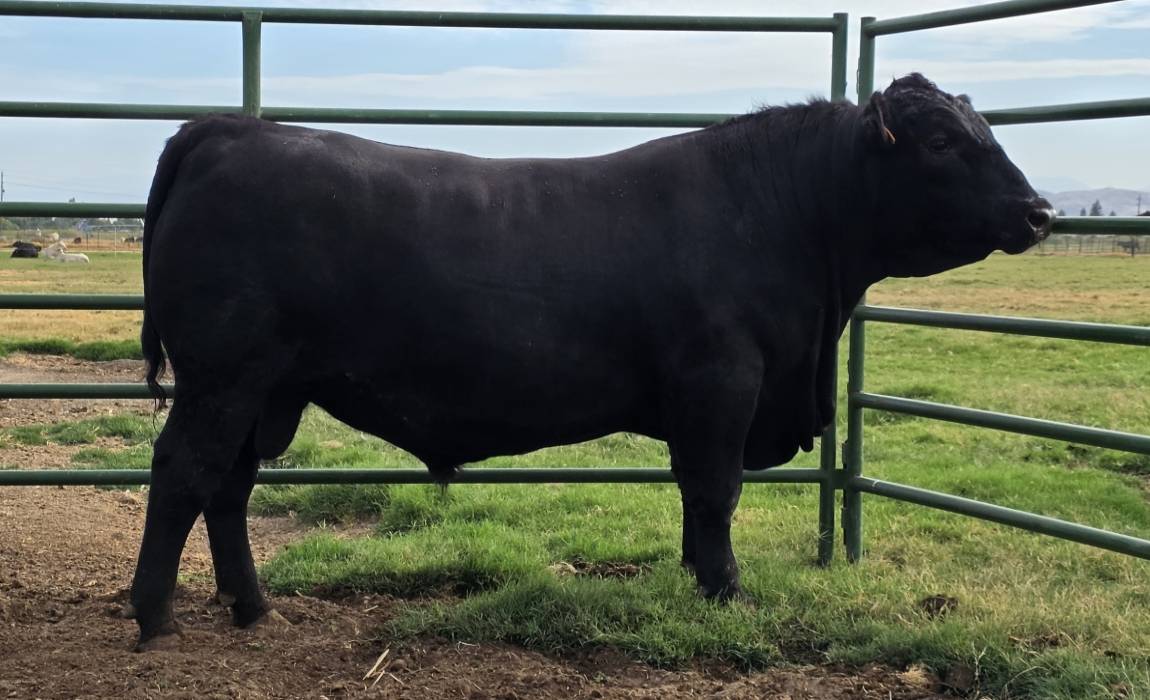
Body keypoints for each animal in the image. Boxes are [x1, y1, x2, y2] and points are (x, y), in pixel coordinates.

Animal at [130, 73, 1054, 650]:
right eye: (941, 141)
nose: (1040, 210)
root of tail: (228, 130)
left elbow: (693, 494)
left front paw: (695, 578)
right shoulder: (722, 381)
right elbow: (716, 490)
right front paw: (727, 591)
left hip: (262, 389)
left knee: (229, 487)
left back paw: (253, 608)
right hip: (222, 376)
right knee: (182, 473)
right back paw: (154, 616)